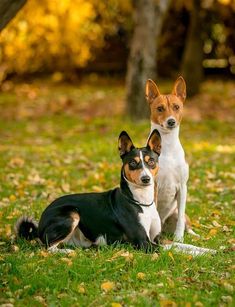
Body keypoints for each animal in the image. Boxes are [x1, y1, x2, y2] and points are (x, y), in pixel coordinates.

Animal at [14, 130, 162, 253]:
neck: (141, 201)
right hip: (72, 214)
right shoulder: (142, 242)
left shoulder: (155, 238)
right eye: (132, 163)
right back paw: (68, 252)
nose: (146, 179)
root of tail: (40, 224)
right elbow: (165, 249)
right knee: (47, 247)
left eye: (151, 161)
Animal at [146, 76, 197, 242]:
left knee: (186, 223)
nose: (171, 121)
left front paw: (178, 238)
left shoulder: (182, 187)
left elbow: (180, 218)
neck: (166, 146)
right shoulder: (154, 186)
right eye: (160, 108)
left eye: (176, 107)